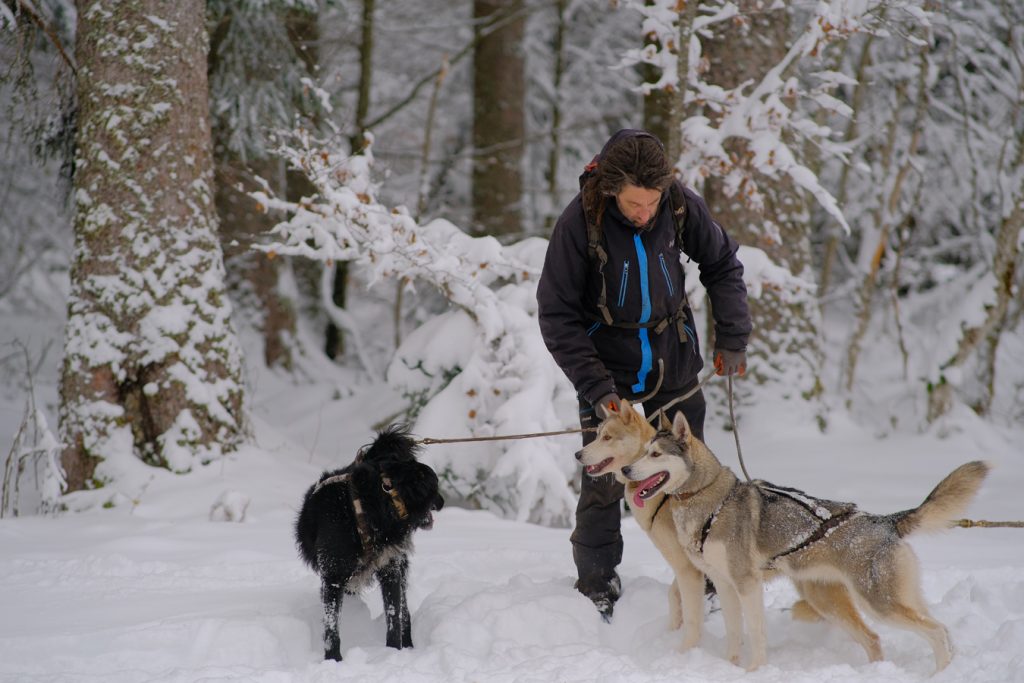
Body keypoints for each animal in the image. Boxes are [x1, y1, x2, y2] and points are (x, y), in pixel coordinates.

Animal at [294, 428, 442, 663]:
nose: (443, 502)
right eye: (436, 486)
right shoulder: (333, 577)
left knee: (405, 611)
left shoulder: (391, 570)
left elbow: (394, 615)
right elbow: (331, 625)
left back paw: (408, 645)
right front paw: (333, 659)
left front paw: (393, 652)